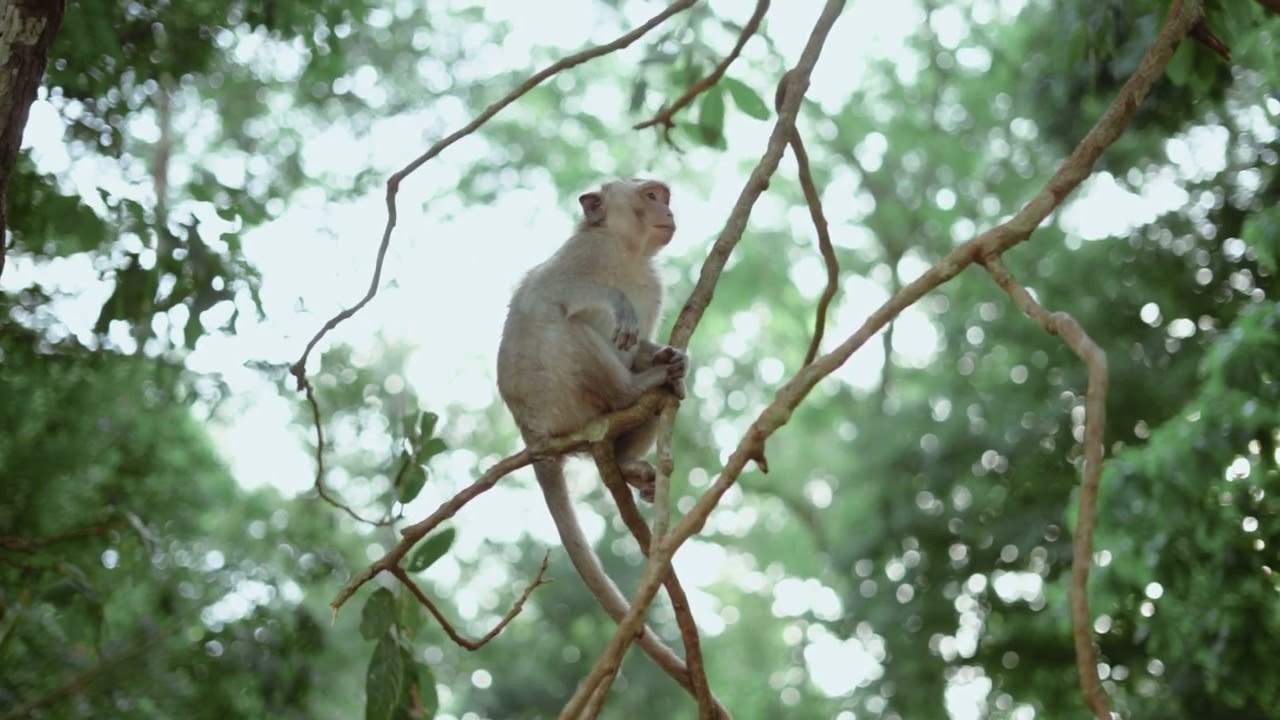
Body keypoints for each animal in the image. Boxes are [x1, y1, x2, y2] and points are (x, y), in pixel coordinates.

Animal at [496, 177, 695, 691]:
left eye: (663, 195)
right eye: (650, 195)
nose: (669, 211)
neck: (627, 252)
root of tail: (534, 436)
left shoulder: (652, 283)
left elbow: (644, 342)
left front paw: (668, 354)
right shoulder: (584, 253)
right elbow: (546, 297)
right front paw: (619, 307)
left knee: (661, 394)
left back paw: (630, 454)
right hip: (558, 401)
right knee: (563, 324)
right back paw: (633, 389)